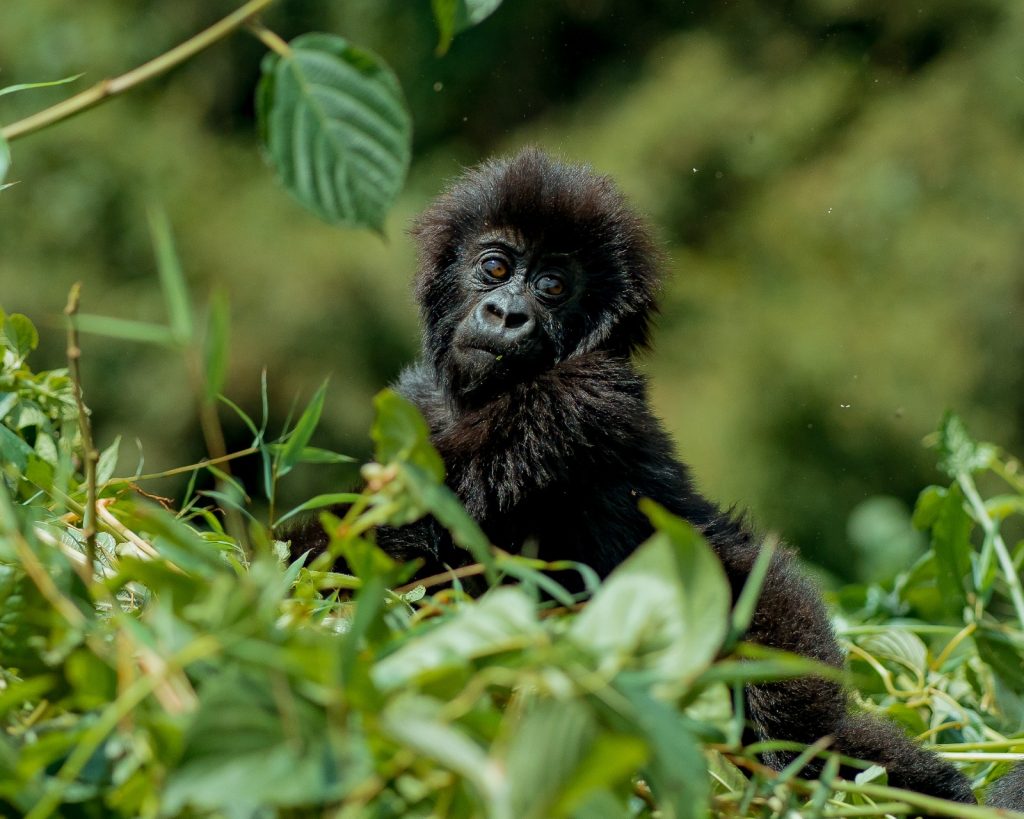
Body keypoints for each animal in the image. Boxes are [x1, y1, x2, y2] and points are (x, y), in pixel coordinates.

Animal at [290, 148, 985, 804]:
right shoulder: (418, 400)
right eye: (495, 267)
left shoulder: (581, 400)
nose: (506, 314)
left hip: (771, 614)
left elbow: (395, 539)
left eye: (552, 286)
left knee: (811, 739)